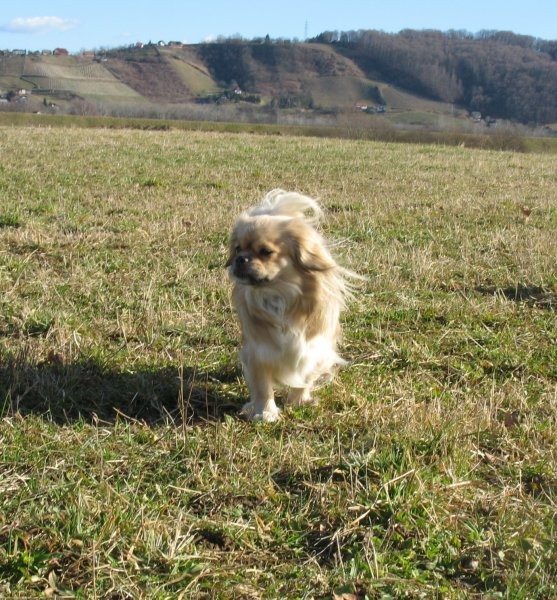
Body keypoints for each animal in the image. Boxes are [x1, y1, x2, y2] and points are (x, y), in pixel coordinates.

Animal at [226, 189, 360, 422]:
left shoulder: (313, 349)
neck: (279, 298)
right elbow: (263, 386)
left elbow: (305, 377)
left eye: (265, 251)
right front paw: (265, 412)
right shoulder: (258, 351)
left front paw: (298, 402)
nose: (241, 259)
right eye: (237, 249)